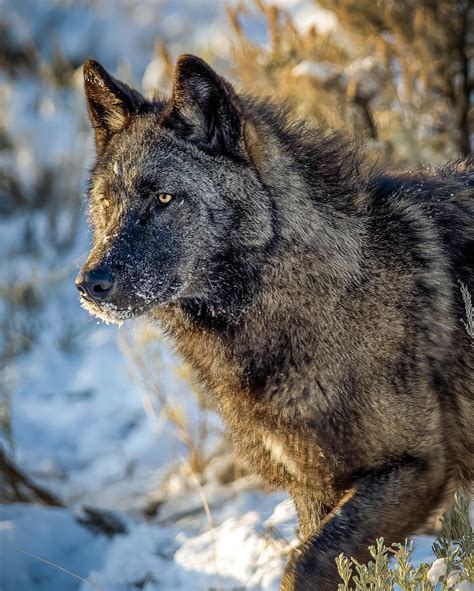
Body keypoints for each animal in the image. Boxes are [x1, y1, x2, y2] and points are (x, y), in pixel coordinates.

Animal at [76, 55, 472, 591]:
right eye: (106, 202)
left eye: (163, 199)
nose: (89, 283)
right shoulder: (313, 489)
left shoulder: (415, 467)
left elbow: (304, 563)